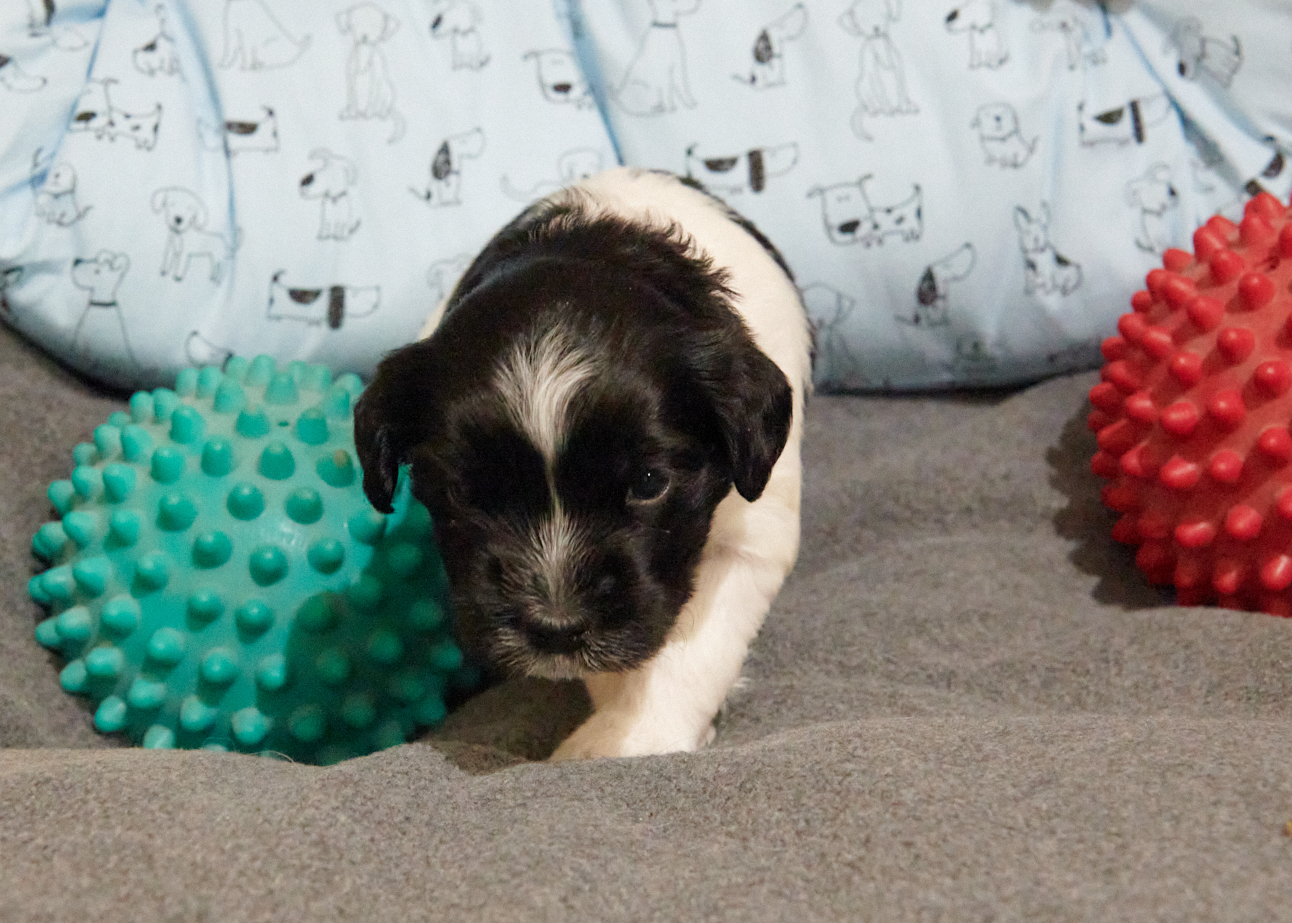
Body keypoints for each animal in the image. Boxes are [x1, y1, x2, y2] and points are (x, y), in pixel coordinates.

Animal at [354, 169, 806, 760]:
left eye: (649, 483)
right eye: (463, 493)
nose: (556, 626)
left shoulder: (752, 530)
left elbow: (697, 647)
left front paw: (629, 736)